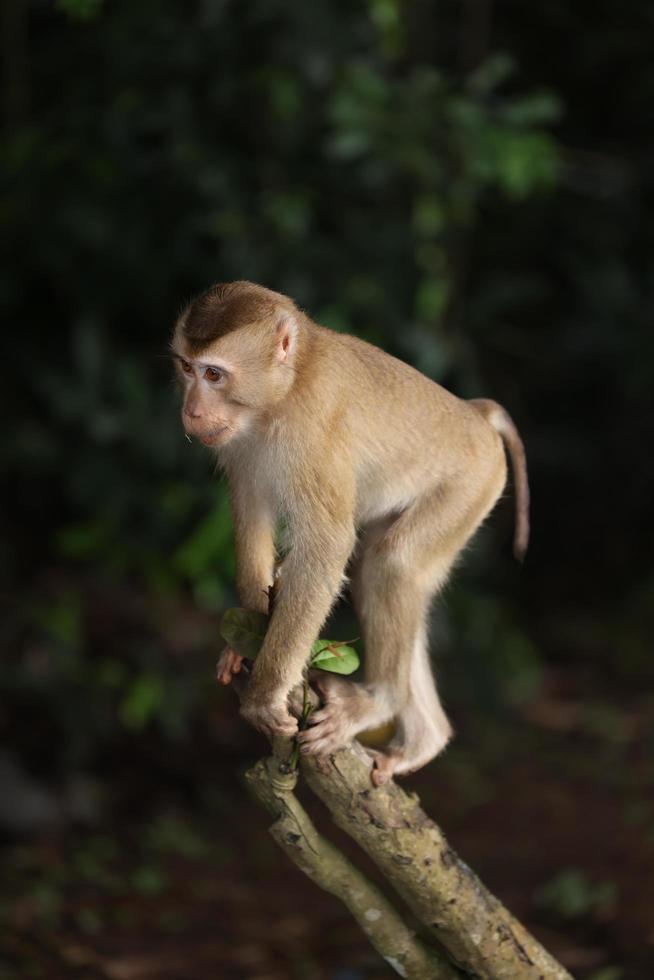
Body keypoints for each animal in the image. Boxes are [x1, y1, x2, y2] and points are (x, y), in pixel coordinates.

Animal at [172, 280, 532, 784]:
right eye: (187, 368)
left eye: (214, 374)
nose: (192, 410)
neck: (284, 391)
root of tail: (475, 414)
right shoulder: (241, 445)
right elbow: (251, 513)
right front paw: (243, 637)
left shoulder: (310, 434)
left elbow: (326, 549)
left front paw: (264, 694)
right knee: (383, 567)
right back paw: (424, 740)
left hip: (470, 485)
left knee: (394, 564)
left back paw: (380, 702)